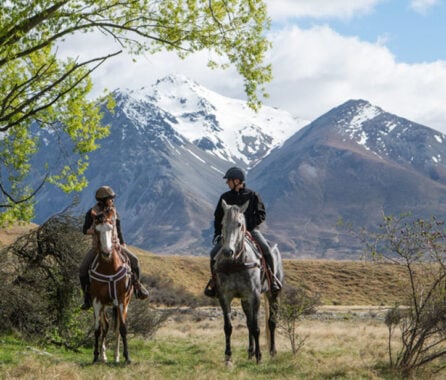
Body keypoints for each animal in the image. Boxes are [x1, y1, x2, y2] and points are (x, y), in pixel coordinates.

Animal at [89, 206, 133, 364]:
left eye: (111, 227)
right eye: (96, 230)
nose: (107, 253)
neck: (109, 268)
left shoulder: (121, 300)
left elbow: (123, 329)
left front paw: (127, 357)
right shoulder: (96, 301)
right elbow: (97, 329)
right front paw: (96, 356)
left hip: (123, 304)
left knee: (117, 327)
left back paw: (116, 356)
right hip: (103, 305)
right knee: (105, 326)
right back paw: (104, 356)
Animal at [214, 199, 284, 366]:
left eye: (239, 224)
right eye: (222, 223)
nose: (228, 251)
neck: (236, 262)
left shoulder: (255, 295)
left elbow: (256, 327)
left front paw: (259, 356)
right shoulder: (225, 297)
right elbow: (228, 327)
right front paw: (228, 357)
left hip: (273, 294)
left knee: (271, 322)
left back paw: (272, 352)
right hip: (245, 300)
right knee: (248, 323)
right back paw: (250, 352)